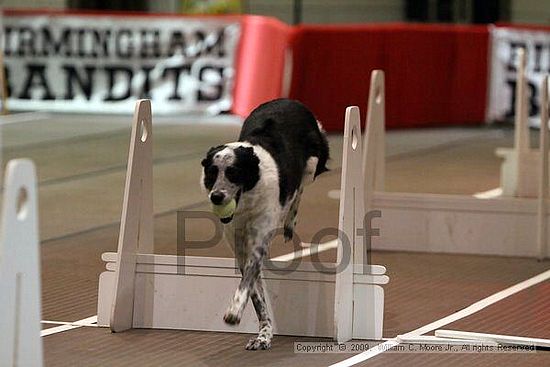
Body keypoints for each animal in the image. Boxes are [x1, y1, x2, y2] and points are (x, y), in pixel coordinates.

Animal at [203, 98, 332, 350]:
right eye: (212, 173)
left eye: (233, 173)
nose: (216, 197)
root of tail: (290, 100)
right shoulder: (239, 245)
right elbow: (255, 291)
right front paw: (264, 334)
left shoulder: (259, 239)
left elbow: (247, 280)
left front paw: (235, 312)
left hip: (312, 164)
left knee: (299, 189)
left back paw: (290, 222)